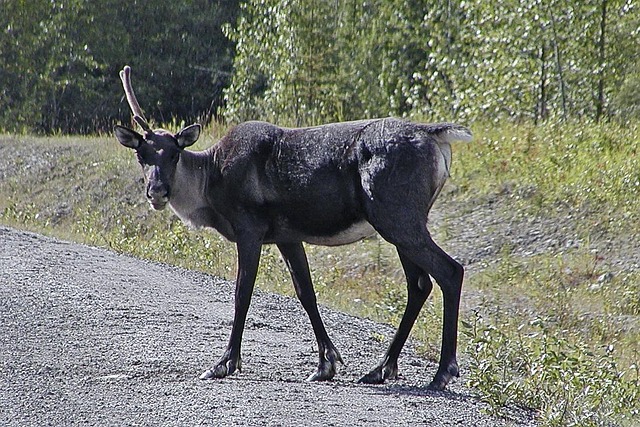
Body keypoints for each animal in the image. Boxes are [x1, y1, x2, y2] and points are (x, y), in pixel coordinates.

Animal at [114, 66, 472, 391]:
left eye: (175, 153)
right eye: (141, 154)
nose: (157, 191)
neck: (210, 184)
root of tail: (435, 137)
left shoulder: (249, 229)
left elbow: (242, 293)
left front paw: (224, 363)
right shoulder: (287, 236)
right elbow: (306, 293)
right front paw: (326, 364)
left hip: (397, 216)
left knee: (449, 271)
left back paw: (442, 373)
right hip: (400, 223)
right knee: (419, 285)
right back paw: (380, 369)